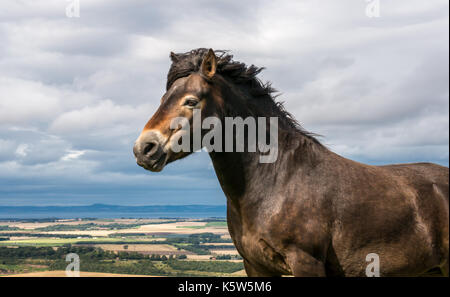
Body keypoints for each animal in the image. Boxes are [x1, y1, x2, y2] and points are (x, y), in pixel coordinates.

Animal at [134, 48, 450, 276]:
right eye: (163, 98)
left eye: (191, 101)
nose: (143, 148)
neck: (277, 179)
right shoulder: (255, 265)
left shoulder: (305, 263)